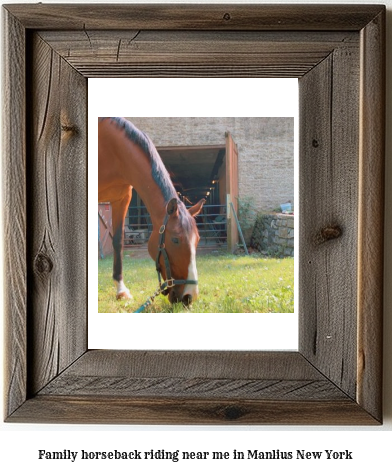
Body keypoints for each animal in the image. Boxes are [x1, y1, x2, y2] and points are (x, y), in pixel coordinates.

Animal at [98, 116, 204, 306]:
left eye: (197, 240)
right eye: (175, 240)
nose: (189, 296)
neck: (111, 149)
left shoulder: (122, 199)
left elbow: (118, 241)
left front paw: (121, 290)